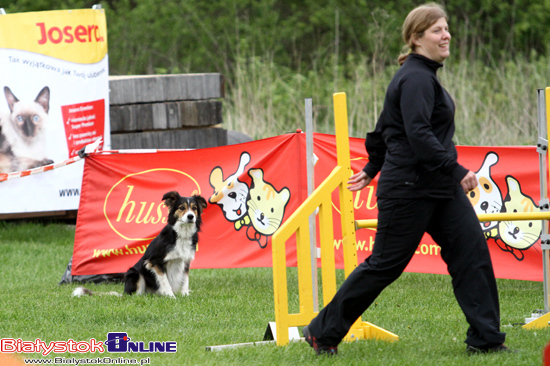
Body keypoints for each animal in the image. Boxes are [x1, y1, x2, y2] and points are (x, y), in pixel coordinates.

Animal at [73, 192, 207, 298]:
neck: (181, 234)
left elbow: (185, 281)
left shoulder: (185, 261)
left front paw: (185, 295)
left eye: (194, 208)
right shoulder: (154, 262)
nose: (191, 216)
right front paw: (171, 296)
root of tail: (124, 293)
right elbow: (165, 281)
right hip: (135, 273)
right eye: (181, 207)